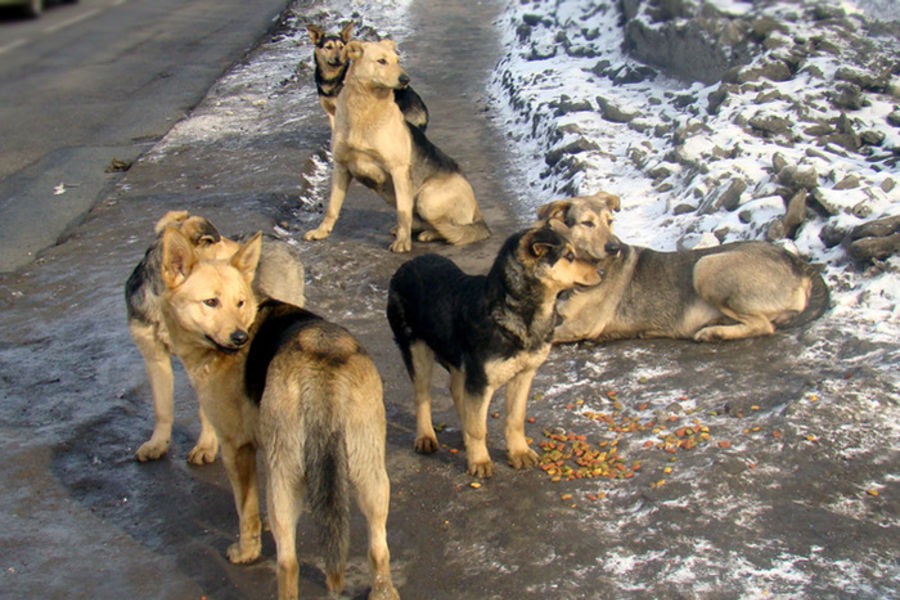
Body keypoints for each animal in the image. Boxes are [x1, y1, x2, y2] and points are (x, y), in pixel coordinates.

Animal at [125, 211, 306, 464]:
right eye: (224, 245)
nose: (249, 259)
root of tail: (282, 243)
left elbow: (206, 411)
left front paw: (206, 445)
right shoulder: (154, 357)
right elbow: (162, 408)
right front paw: (157, 443)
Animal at [155, 227, 398, 600]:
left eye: (239, 302)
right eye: (211, 302)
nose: (240, 339)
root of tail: (322, 359)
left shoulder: (236, 448)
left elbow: (246, 511)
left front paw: (247, 550)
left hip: (288, 481)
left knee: (288, 563)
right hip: (370, 475)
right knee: (379, 548)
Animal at [304, 38, 492, 252]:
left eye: (397, 60)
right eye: (381, 61)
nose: (405, 79)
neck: (364, 111)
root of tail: (479, 215)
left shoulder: (398, 170)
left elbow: (403, 213)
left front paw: (402, 242)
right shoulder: (341, 168)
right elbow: (332, 208)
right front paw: (321, 232)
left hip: (426, 198)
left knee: (449, 228)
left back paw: (429, 234)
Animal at [384, 226, 600, 478]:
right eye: (569, 256)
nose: (602, 271)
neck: (515, 309)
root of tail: (406, 266)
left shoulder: (523, 375)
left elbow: (515, 418)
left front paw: (519, 452)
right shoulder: (480, 380)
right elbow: (478, 427)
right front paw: (479, 461)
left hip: (458, 360)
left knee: (456, 391)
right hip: (416, 350)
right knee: (422, 396)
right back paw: (426, 436)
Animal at [536, 190, 828, 344]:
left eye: (610, 221)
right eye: (587, 223)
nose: (614, 248)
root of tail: (799, 263)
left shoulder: (579, 326)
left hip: (706, 266)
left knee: (763, 326)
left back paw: (714, 332)